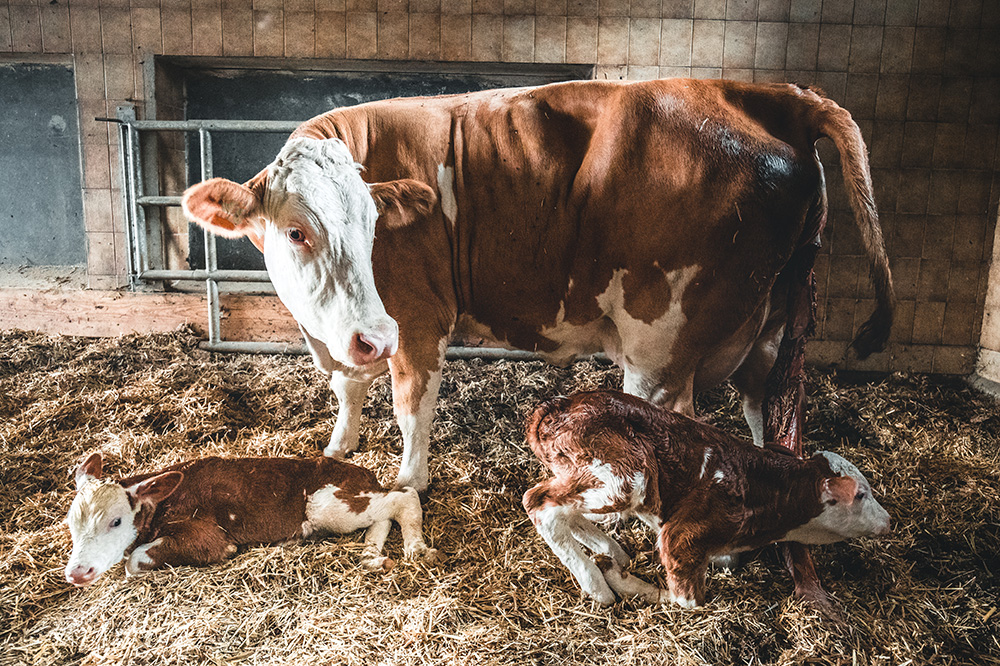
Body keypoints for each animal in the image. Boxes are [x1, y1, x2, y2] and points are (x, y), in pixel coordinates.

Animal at [64, 452, 440, 586]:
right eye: (71, 524)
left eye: (115, 521)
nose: (76, 572)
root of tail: (364, 473)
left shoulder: (208, 536)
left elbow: (135, 560)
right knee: (383, 515)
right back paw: (373, 558)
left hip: (328, 504)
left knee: (404, 497)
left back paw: (417, 549)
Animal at [522, 390, 892, 607]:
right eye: (861, 494)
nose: (887, 520)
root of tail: (555, 405)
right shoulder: (682, 536)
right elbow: (686, 601)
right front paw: (620, 580)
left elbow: (727, 562)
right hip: (626, 477)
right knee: (539, 501)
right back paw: (596, 584)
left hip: (594, 477)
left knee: (563, 506)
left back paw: (612, 552)